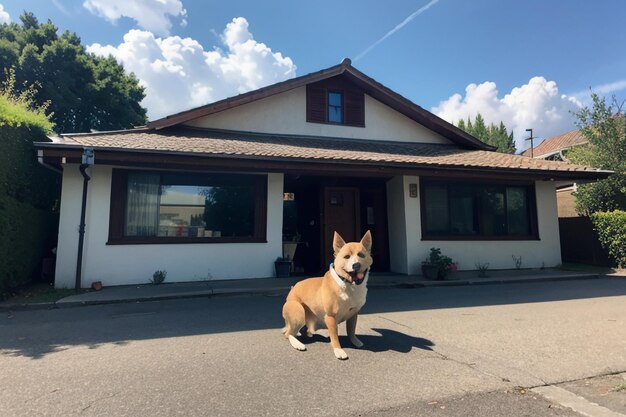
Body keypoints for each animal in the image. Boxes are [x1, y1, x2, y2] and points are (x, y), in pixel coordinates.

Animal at [280, 229, 370, 360]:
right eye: (346, 257)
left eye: (361, 255)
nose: (356, 265)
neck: (347, 284)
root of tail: (292, 290)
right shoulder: (330, 317)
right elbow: (335, 336)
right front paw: (338, 350)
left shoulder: (353, 314)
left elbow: (351, 330)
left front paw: (355, 341)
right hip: (298, 311)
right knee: (289, 334)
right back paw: (298, 343)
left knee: (302, 330)